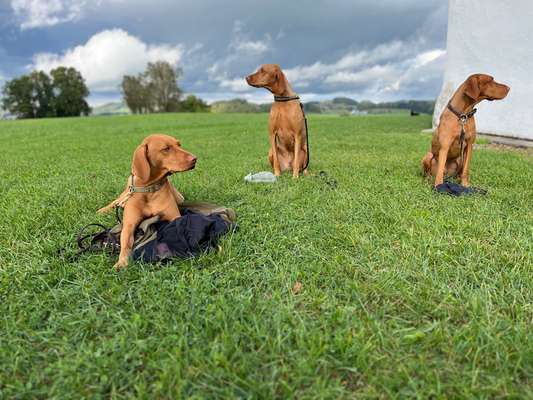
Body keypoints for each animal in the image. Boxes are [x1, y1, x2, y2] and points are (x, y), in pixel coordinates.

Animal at [96, 134, 196, 268]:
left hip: (179, 198)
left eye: (179, 145)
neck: (149, 190)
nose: (195, 159)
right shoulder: (128, 225)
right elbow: (125, 244)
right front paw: (121, 262)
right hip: (125, 193)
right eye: (166, 148)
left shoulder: (174, 216)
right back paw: (102, 210)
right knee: (115, 202)